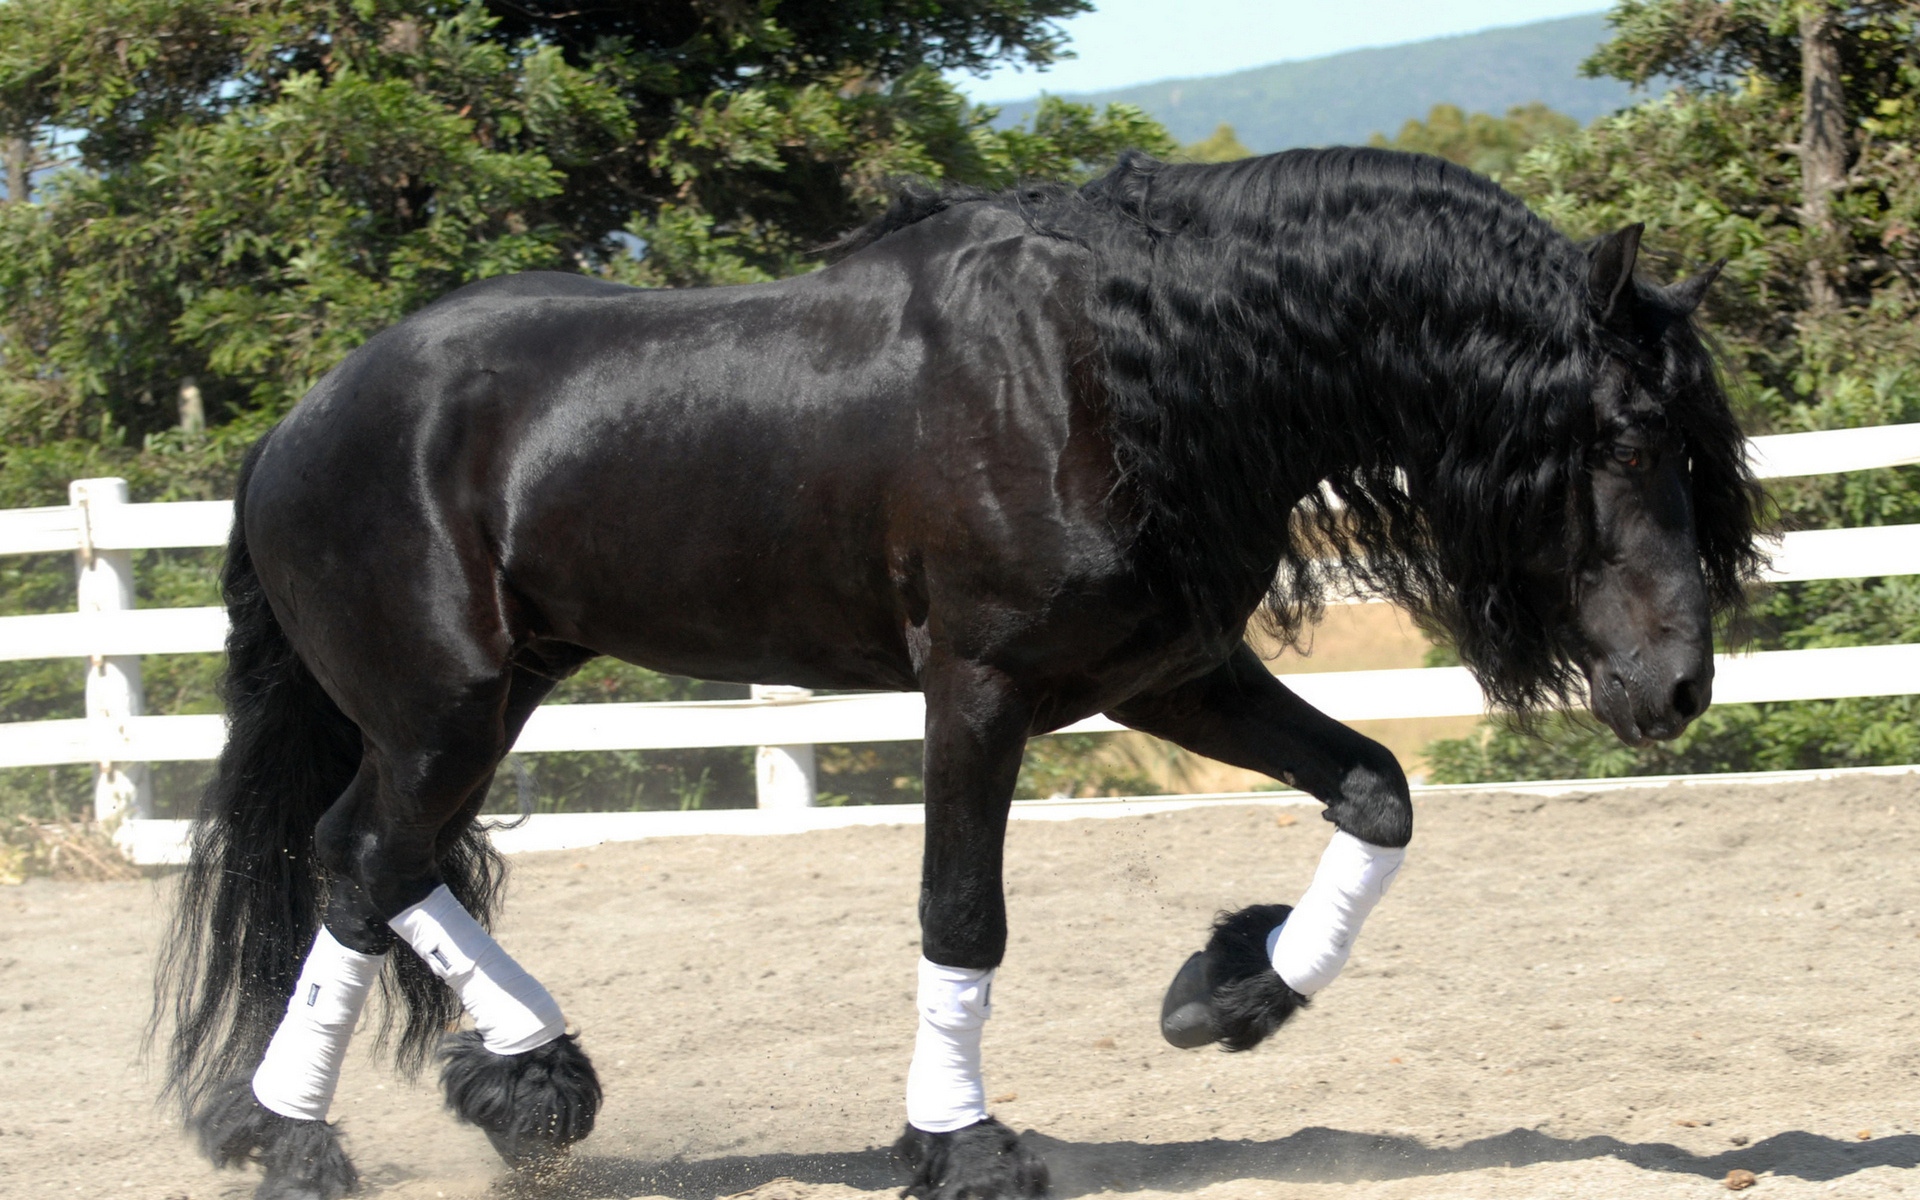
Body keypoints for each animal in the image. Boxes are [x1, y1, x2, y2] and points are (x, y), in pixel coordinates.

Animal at [154, 146, 1761, 1200]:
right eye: (1624, 434)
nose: (1679, 686)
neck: (1108, 372)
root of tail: (300, 424)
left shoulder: (1168, 671)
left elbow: (1376, 791)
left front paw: (1230, 994)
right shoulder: (979, 694)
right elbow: (963, 917)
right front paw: (962, 1142)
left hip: (495, 693)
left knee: (376, 862)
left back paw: (525, 1080)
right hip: (443, 705)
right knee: (362, 865)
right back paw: (300, 1135)